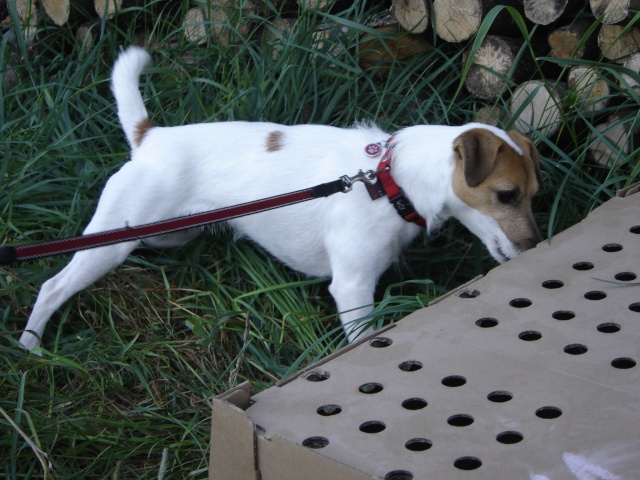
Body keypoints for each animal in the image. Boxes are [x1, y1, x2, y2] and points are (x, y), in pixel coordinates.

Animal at [17, 47, 544, 350]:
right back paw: (31, 347)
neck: (387, 179)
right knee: (53, 287)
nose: (536, 246)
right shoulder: (352, 288)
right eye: (506, 195)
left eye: (534, 194)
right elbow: (364, 336)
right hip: (111, 241)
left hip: (169, 234)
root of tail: (150, 137)